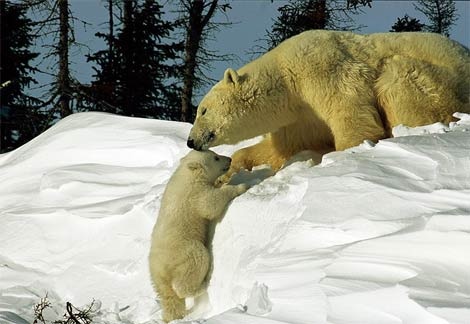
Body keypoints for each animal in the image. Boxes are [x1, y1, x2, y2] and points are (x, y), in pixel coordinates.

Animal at [187, 31, 470, 175]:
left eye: (203, 110)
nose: (191, 141)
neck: (286, 78)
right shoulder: (300, 117)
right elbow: (285, 146)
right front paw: (235, 167)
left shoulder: (321, 69)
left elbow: (351, 112)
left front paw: (343, 154)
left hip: (439, 84)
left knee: (397, 76)